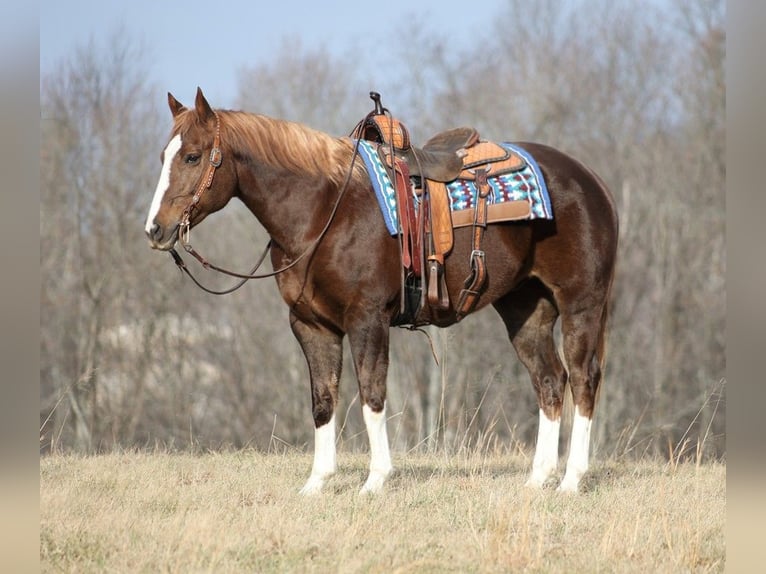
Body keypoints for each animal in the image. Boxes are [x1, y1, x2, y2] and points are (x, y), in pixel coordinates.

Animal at [147, 89, 620, 496]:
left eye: (192, 156)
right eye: (164, 155)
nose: (155, 230)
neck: (325, 210)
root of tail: (593, 181)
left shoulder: (367, 319)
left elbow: (371, 395)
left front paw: (375, 480)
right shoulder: (311, 325)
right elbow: (323, 401)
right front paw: (317, 483)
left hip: (581, 304)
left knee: (583, 379)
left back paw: (572, 480)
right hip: (525, 309)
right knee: (550, 380)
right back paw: (538, 480)